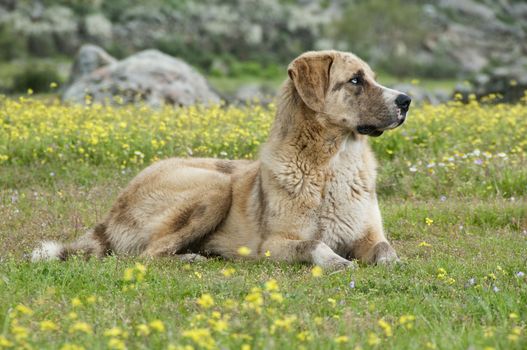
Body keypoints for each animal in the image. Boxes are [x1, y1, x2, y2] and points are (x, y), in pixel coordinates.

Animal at [32, 49, 412, 270]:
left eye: (372, 78)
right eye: (355, 80)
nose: (406, 100)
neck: (332, 166)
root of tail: (112, 212)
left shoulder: (368, 236)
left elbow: (386, 250)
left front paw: (391, 264)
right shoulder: (274, 244)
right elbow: (315, 242)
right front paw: (336, 261)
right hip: (214, 186)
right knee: (148, 254)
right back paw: (191, 257)